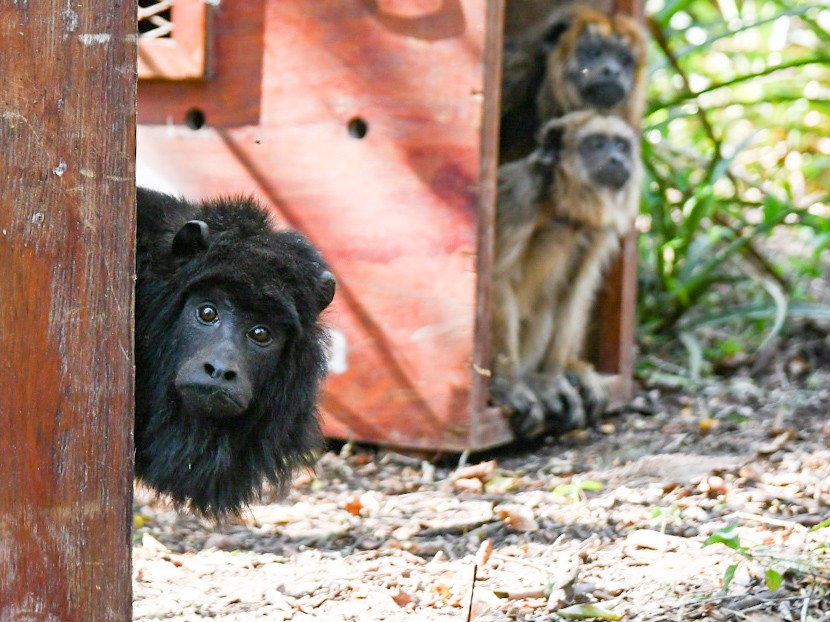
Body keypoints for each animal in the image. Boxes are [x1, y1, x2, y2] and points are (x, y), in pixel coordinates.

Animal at [490, 111, 642, 438]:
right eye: (595, 144)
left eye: (621, 146)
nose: (616, 159)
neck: (562, 207)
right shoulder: (519, 196)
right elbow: (496, 280)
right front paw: (508, 385)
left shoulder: (598, 230)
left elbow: (576, 289)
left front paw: (552, 380)